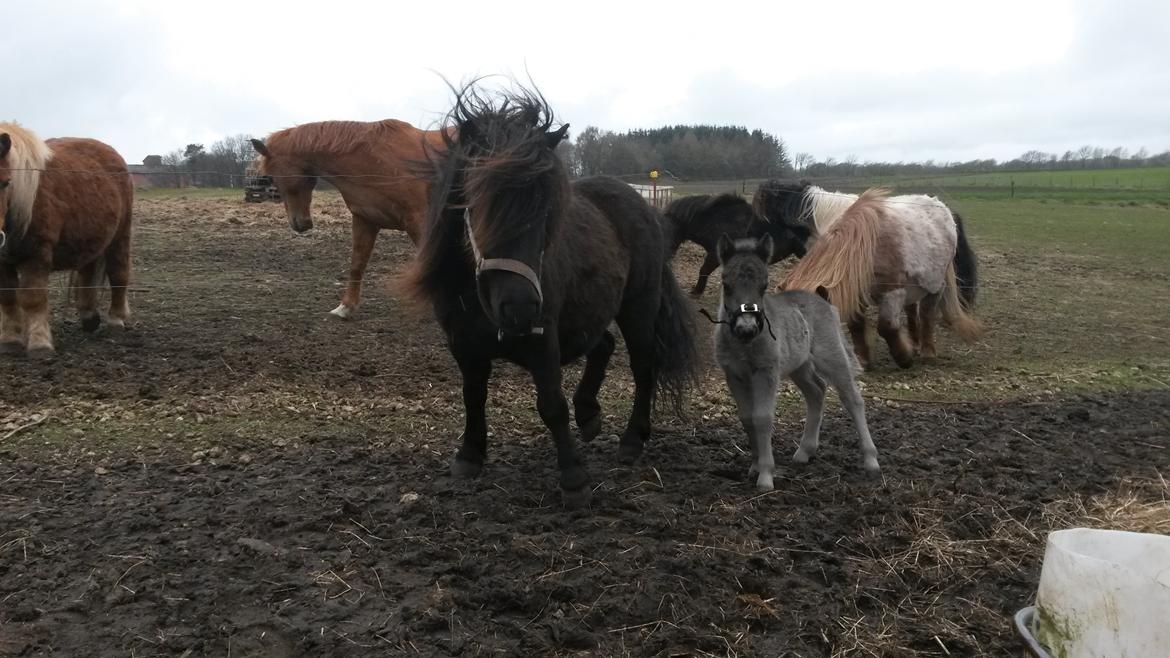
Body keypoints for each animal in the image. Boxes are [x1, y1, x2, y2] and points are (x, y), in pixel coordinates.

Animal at [0, 123, 133, 355]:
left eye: (6, 183)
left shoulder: (37, 255)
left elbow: (33, 299)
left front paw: (40, 343)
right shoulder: (2, 262)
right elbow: (7, 299)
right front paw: (9, 340)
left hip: (119, 238)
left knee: (119, 275)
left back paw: (116, 320)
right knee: (88, 274)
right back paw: (89, 318)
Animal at [249, 122, 444, 320]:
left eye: (271, 176)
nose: (301, 224)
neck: (376, 159)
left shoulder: (418, 219)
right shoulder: (365, 219)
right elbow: (357, 264)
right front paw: (346, 307)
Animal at [706, 231, 879, 487]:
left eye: (764, 286)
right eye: (726, 285)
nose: (747, 328)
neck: (744, 346)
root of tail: (824, 301)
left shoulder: (766, 372)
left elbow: (762, 418)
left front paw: (766, 475)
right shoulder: (734, 375)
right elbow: (747, 418)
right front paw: (754, 467)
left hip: (832, 357)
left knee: (853, 400)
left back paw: (871, 460)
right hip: (800, 366)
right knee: (816, 391)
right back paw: (805, 452)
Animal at [781, 188, 982, 369]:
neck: (865, 248)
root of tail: (942, 208)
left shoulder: (892, 292)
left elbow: (886, 327)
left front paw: (904, 358)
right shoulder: (856, 292)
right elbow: (856, 324)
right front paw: (863, 360)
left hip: (935, 285)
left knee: (926, 314)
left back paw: (927, 352)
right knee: (912, 311)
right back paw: (915, 344)